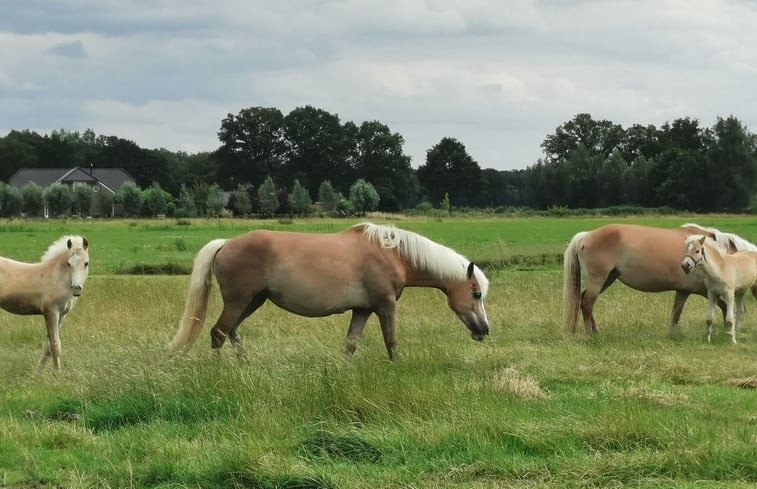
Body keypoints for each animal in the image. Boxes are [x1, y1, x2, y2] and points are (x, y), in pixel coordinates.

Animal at [0, 234, 89, 368]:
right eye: (69, 263)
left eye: (86, 263)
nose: (76, 288)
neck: (58, 278)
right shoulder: (51, 312)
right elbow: (55, 346)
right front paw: (57, 372)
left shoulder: (62, 315)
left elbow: (48, 347)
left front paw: (39, 372)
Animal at [168, 222, 490, 358]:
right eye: (476, 294)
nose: (484, 330)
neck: (392, 253)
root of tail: (226, 243)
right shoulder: (385, 306)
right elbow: (392, 342)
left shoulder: (362, 310)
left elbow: (350, 344)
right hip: (240, 300)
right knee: (219, 333)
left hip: (253, 301)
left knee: (232, 332)